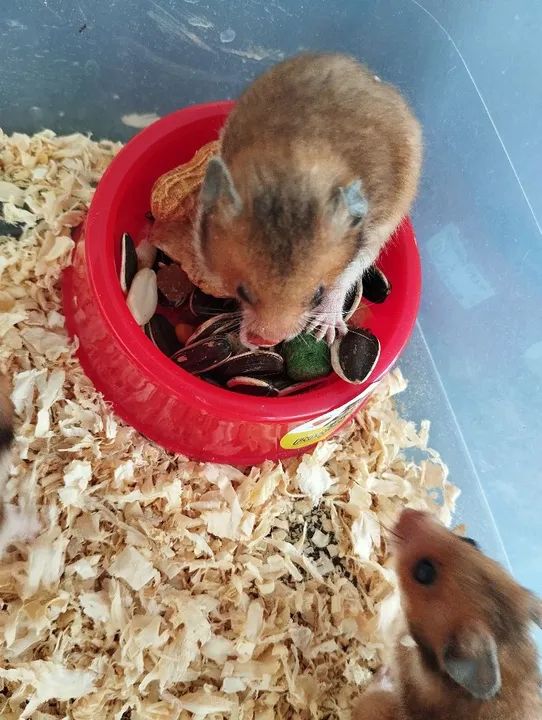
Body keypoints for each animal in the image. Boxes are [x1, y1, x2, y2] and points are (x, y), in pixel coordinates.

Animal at [196, 52, 422, 349]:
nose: (267, 341)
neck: (294, 166)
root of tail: (372, 77)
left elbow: (342, 279)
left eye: (316, 294)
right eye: (242, 292)